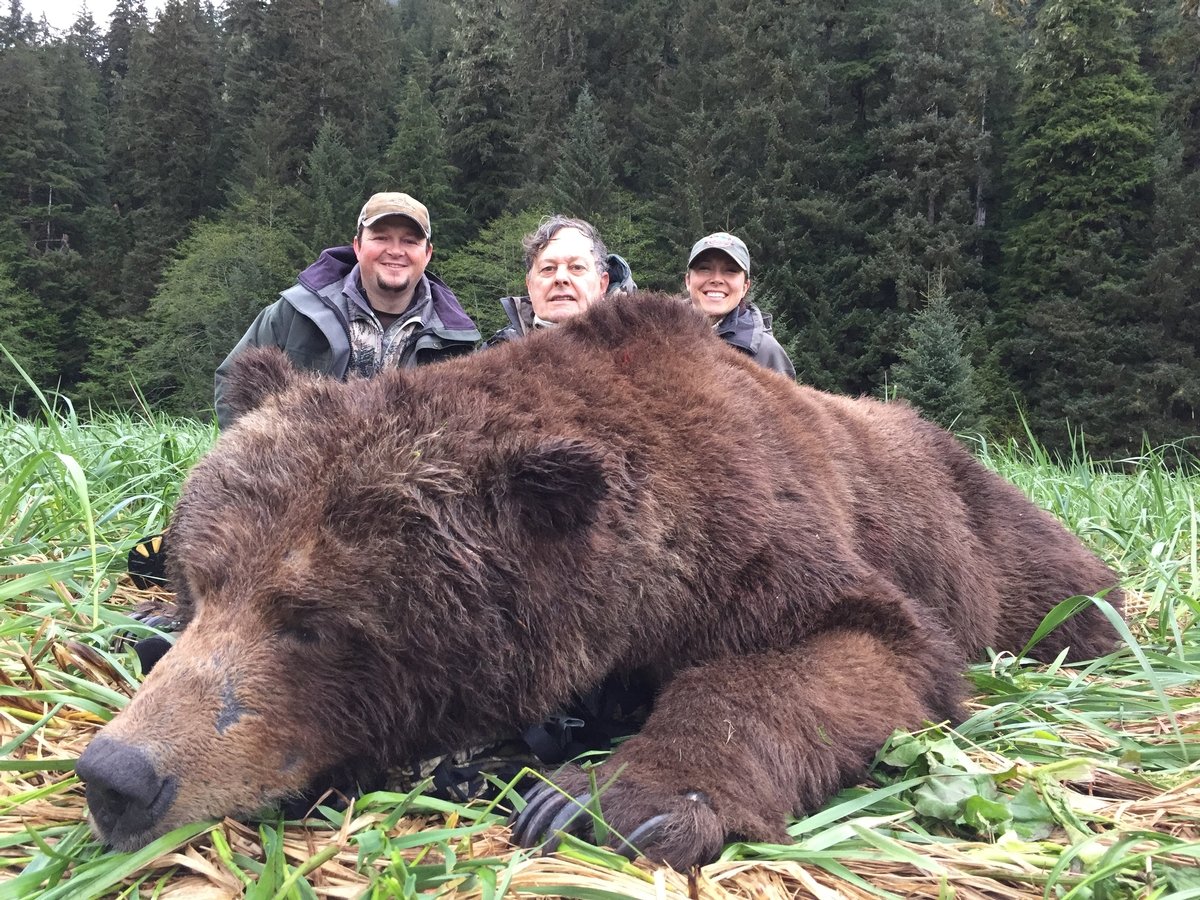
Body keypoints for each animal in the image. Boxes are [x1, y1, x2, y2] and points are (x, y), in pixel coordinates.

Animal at [76, 292, 1123, 870]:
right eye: (203, 580)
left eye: (311, 620)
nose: (117, 775)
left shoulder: (756, 544)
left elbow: (854, 646)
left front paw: (597, 798)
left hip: (1014, 552)